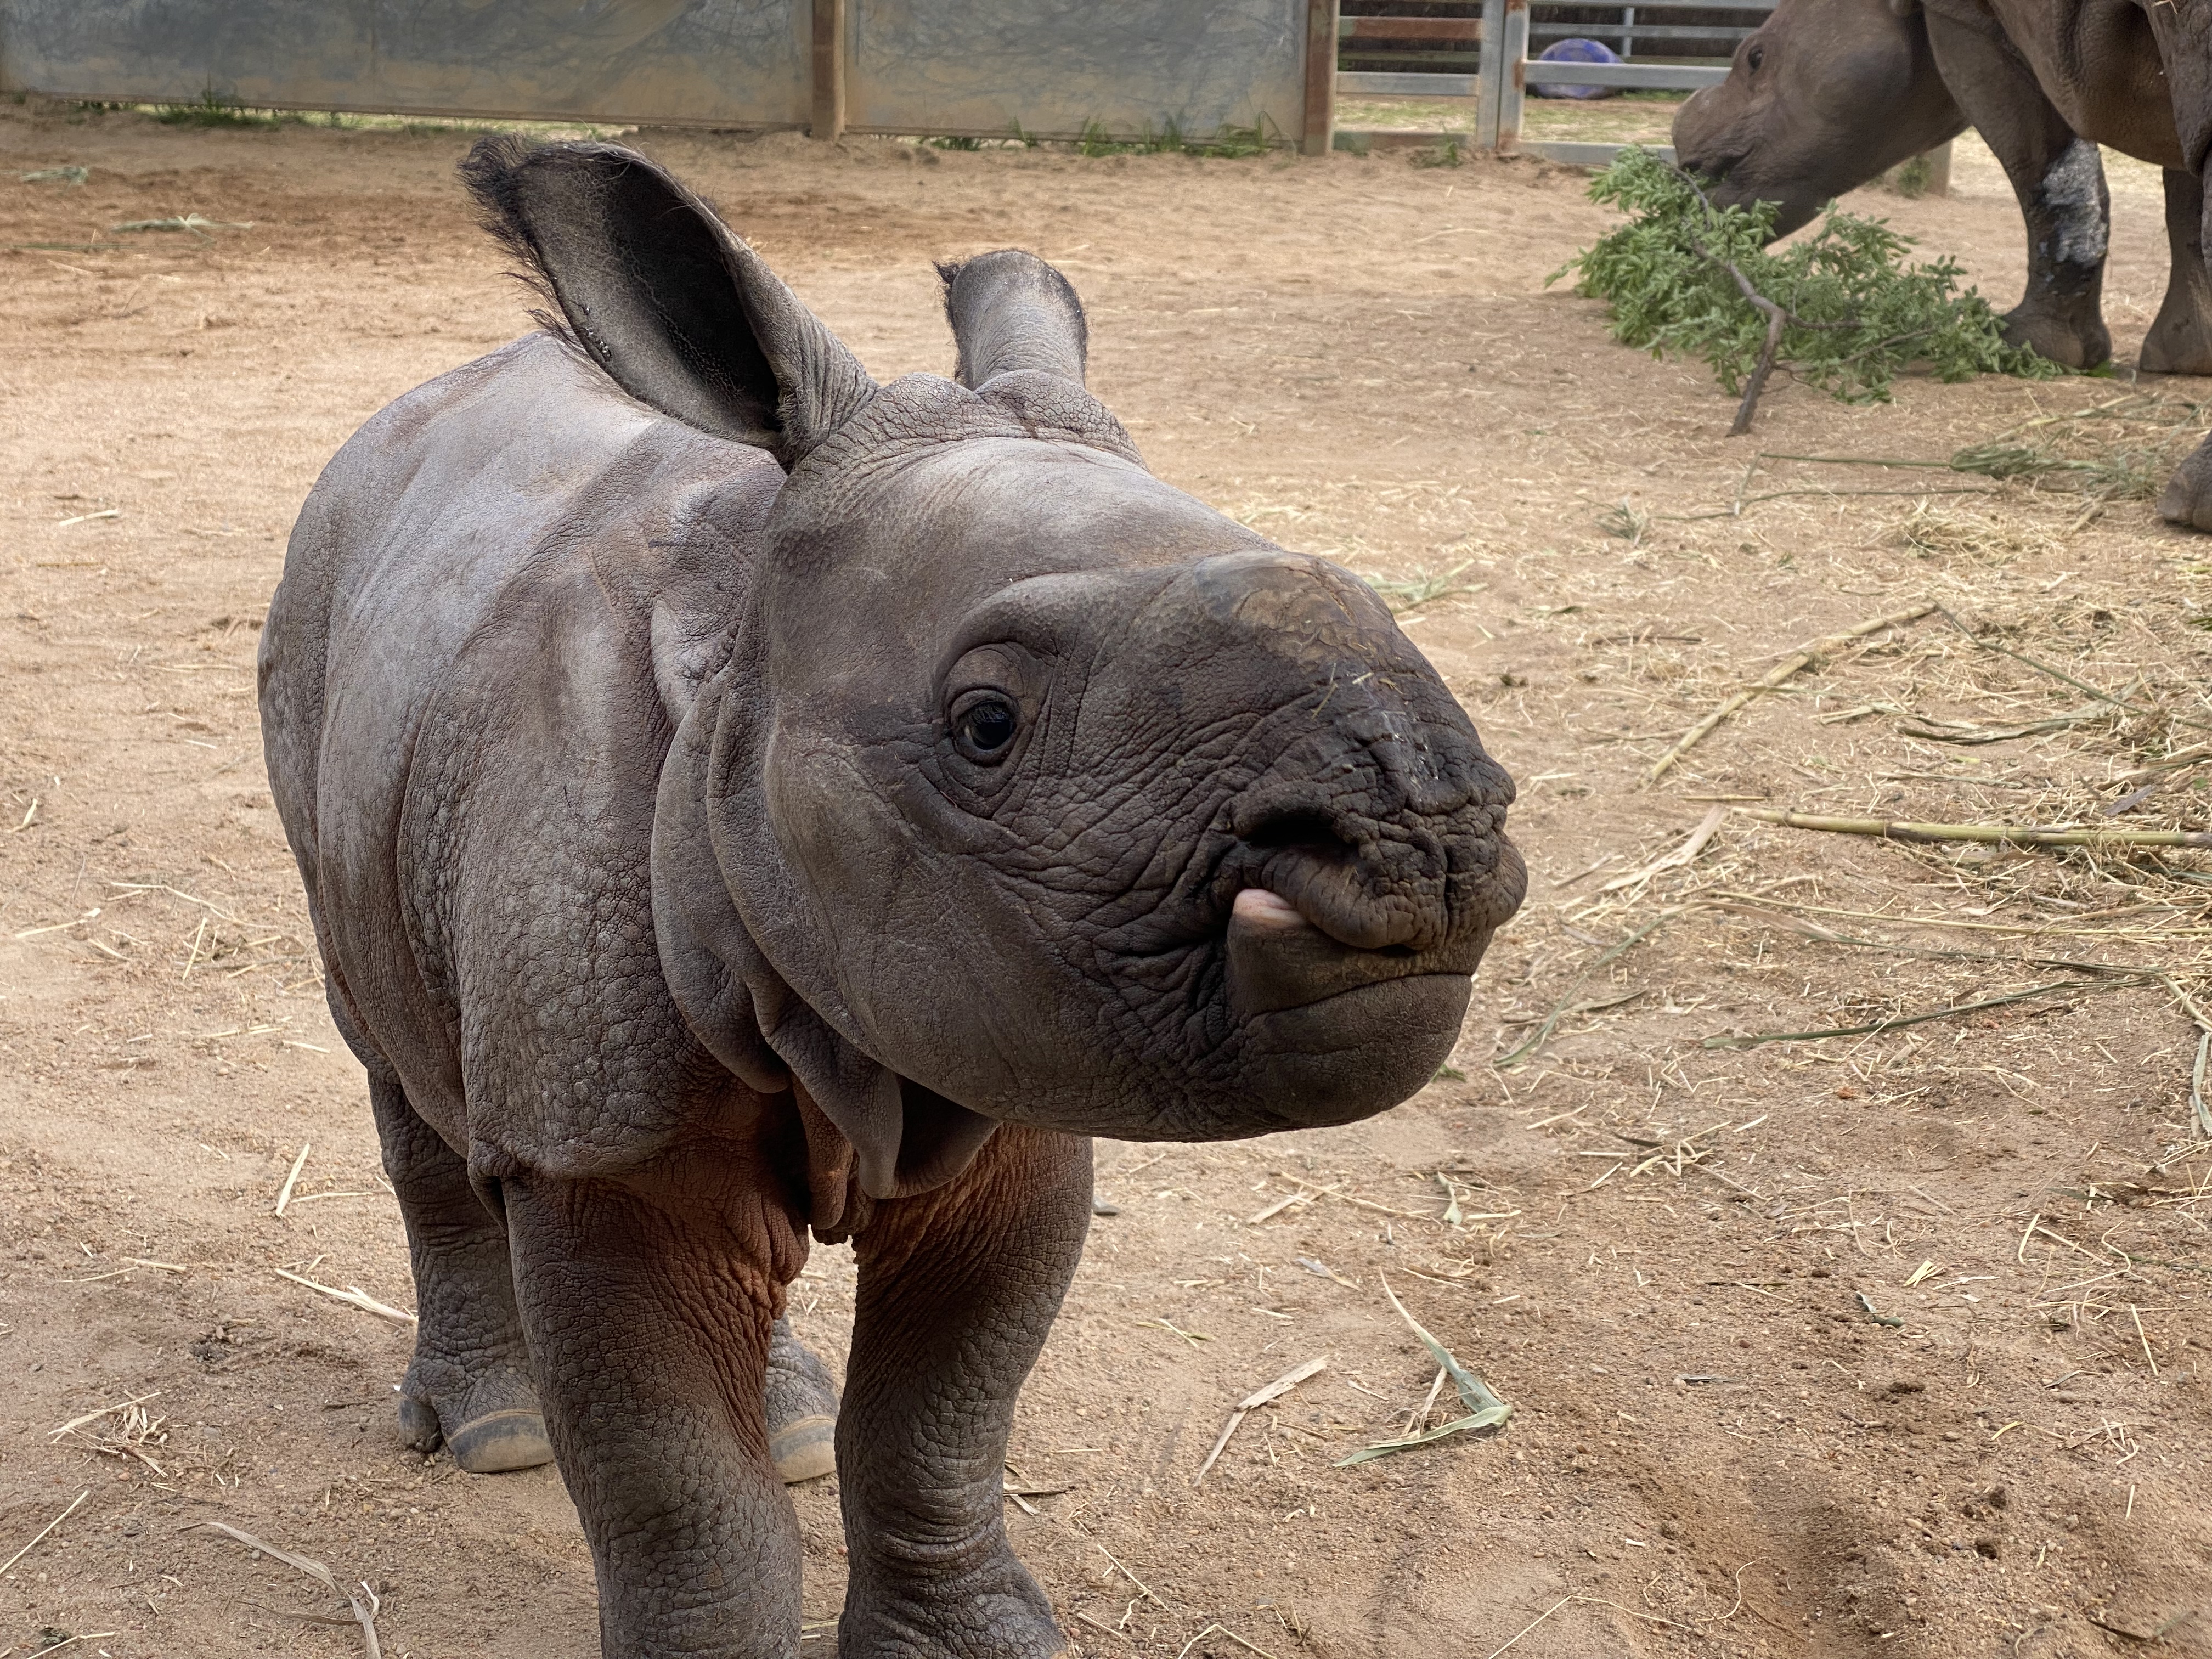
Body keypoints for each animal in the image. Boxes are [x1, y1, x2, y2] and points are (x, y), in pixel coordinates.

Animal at [258, 143, 1522, 1659]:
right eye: (986, 726)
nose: (1424, 844)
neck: (741, 643)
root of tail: (397, 419)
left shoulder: (1005, 1049)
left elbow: (941, 1420)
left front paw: (968, 1641)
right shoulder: (594, 1132)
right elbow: (681, 1492)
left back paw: (789, 1423)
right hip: (316, 634)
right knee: (391, 1052)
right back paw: (497, 1437)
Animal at [1672, 0, 2212, 526]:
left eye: (1756, 58)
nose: (1687, 174)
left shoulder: (1965, 19)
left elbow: (2042, 159)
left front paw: (2025, 345)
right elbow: (2184, 194)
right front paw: (2185, 357)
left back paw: (2188, 506)